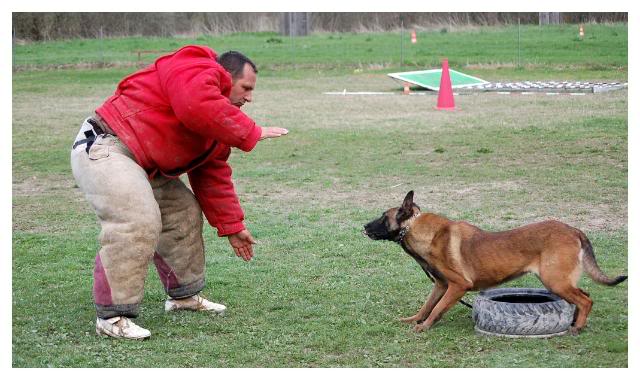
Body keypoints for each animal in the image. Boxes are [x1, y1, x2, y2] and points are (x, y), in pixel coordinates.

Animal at [362, 191, 628, 334]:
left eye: (383, 217)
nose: (363, 227)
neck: (417, 229)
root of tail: (574, 230)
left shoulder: (458, 286)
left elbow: (437, 309)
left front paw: (424, 327)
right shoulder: (441, 285)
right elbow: (427, 306)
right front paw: (415, 320)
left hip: (555, 281)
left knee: (586, 299)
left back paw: (578, 327)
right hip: (561, 281)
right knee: (583, 296)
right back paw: (575, 321)